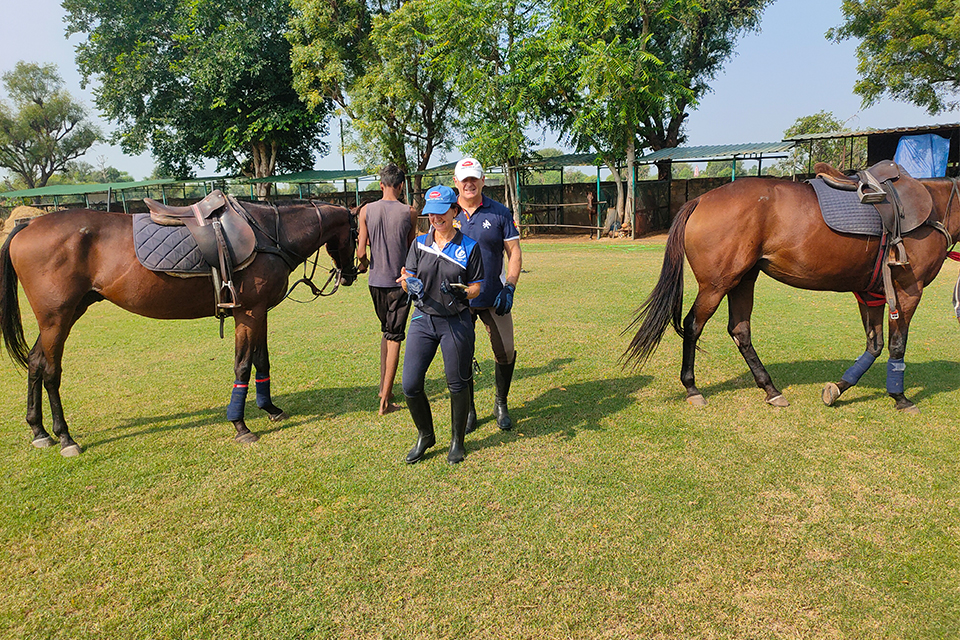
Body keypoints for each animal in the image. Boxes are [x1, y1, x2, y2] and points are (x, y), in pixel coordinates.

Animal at [0, 199, 360, 456]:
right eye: (357, 236)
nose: (350, 275)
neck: (269, 234)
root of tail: (28, 224)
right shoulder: (248, 313)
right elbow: (243, 366)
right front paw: (240, 425)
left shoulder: (259, 313)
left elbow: (262, 361)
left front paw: (270, 408)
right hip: (56, 318)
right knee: (50, 371)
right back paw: (65, 437)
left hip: (67, 313)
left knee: (35, 361)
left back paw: (39, 431)